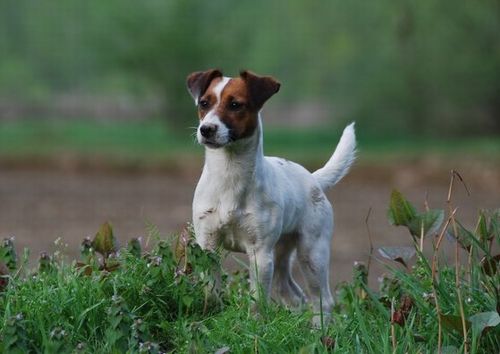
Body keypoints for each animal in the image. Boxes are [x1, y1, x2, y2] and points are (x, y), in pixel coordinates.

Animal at [185, 69, 356, 324]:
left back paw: (319, 330)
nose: (206, 129)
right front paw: (211, 316)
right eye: (204, 103)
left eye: (235, 105)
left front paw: (254, 325)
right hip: (281, 254)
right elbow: (212, 291)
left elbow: (257, 300)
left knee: (321, 300)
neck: (229, 177)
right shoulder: (208, 245)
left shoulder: (260, 254)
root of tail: (313, 178)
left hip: (312, 254)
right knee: (292, 295)